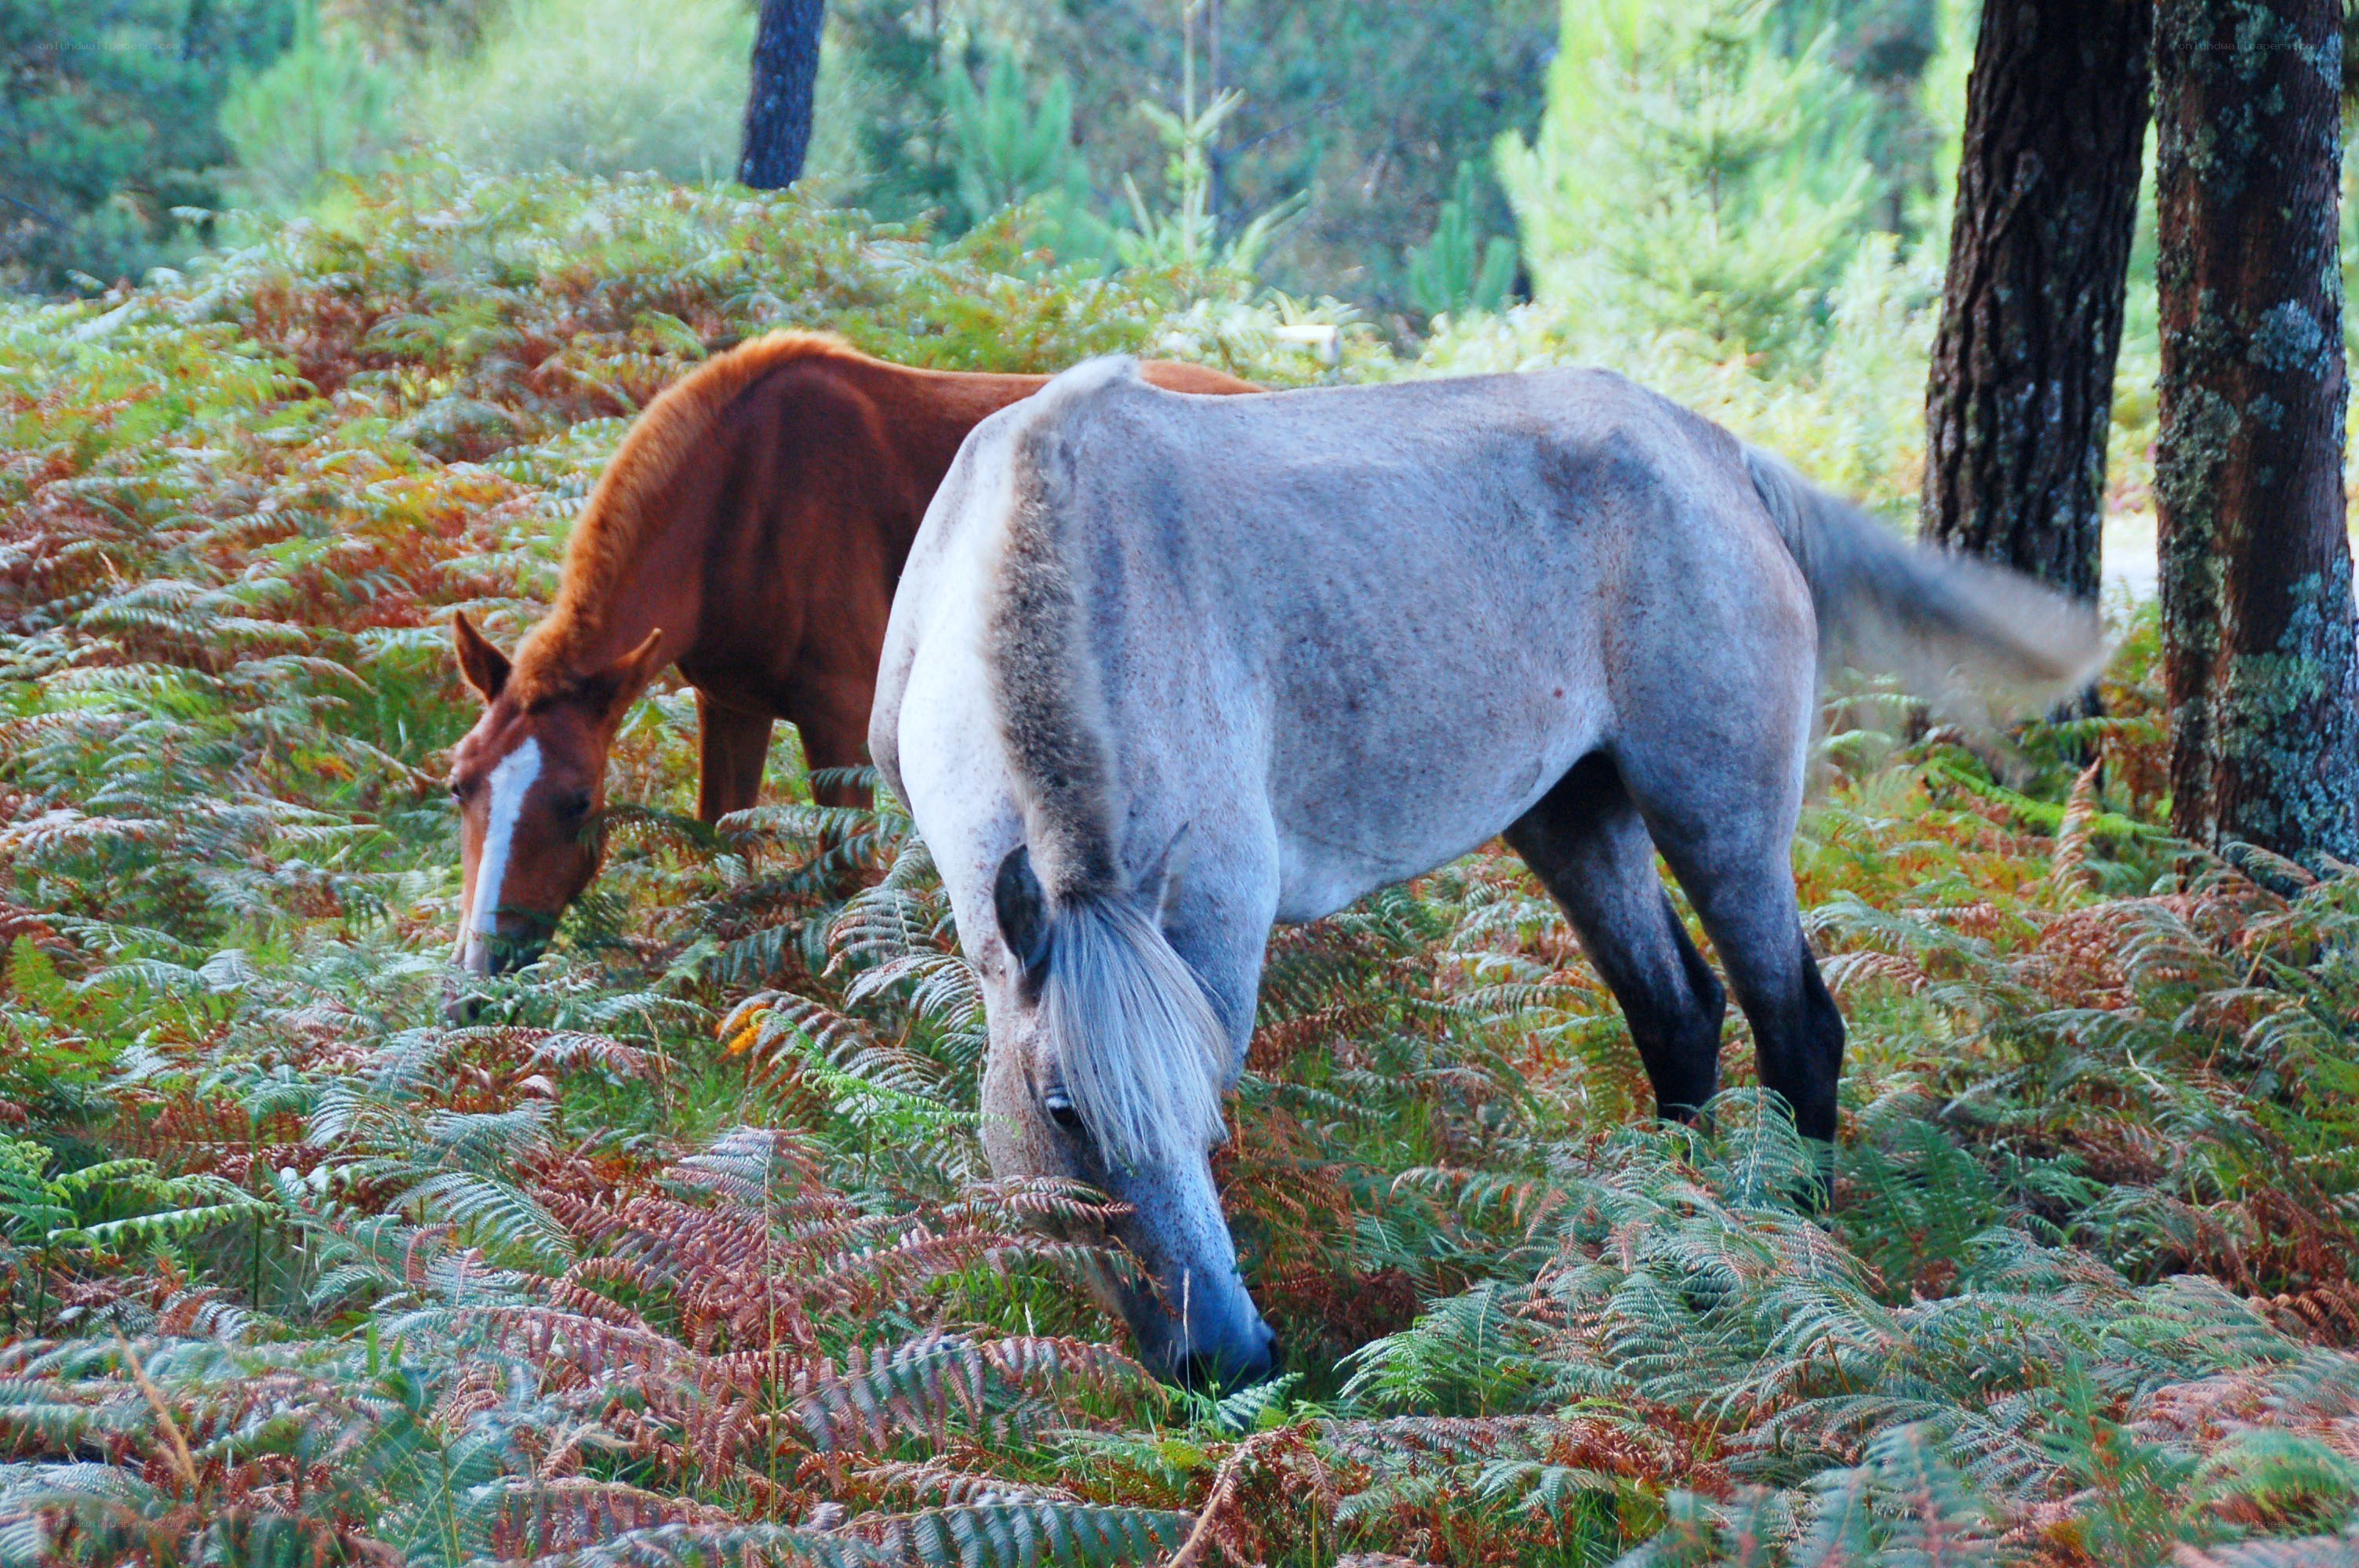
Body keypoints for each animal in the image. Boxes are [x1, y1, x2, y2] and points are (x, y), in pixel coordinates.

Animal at [443, 332, 1255, 977]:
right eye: (459, 783)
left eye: (578, 800)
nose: (477, 974)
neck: (741, 501)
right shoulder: (730, 704)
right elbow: (720, 848)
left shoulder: (837, 717)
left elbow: (853, 886)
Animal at [870, 357, 2105, 1388]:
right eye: (1064, 1111)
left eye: (1203, 1108)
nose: (1230, 1357)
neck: (1051, 560)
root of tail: (1719, 454)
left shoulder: (1213, 923)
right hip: (1572, 816)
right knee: (1678, 1012)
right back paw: (1683, 1247)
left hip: (1718, 819)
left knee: (1794, 1023)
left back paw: (1793, 1250)